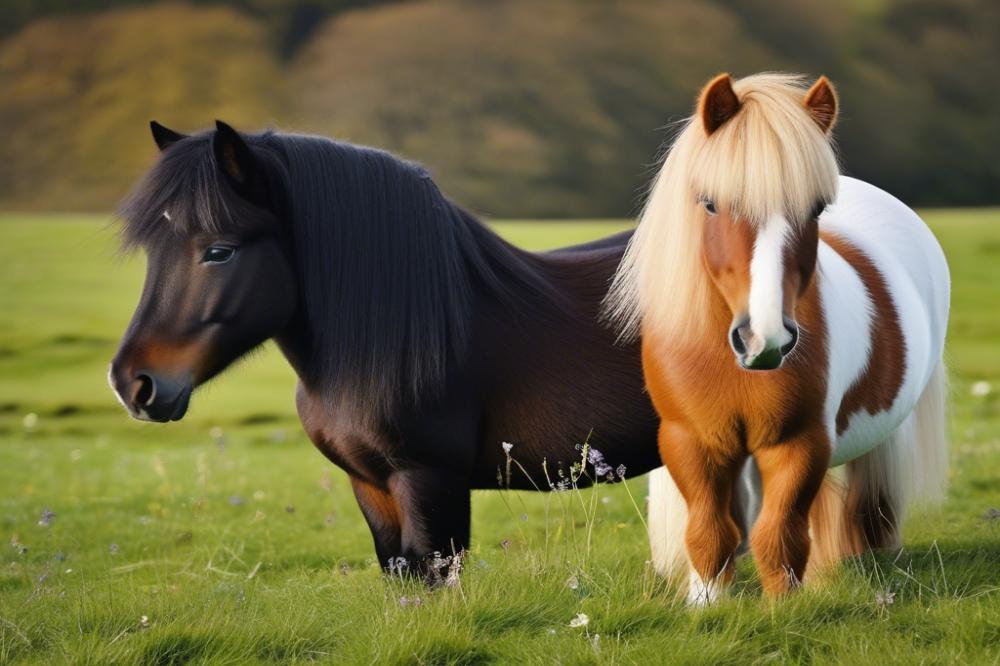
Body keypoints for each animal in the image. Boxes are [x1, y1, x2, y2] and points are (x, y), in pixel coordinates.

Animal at [604, 74, 948, 600]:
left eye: (816, 210)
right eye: (709, 203)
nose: (764, 339)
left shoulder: (798, 443)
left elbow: (779, 535)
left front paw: (785, 606)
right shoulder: (692, 442)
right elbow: (710, 530)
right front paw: (706, 602)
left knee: (868, 504)